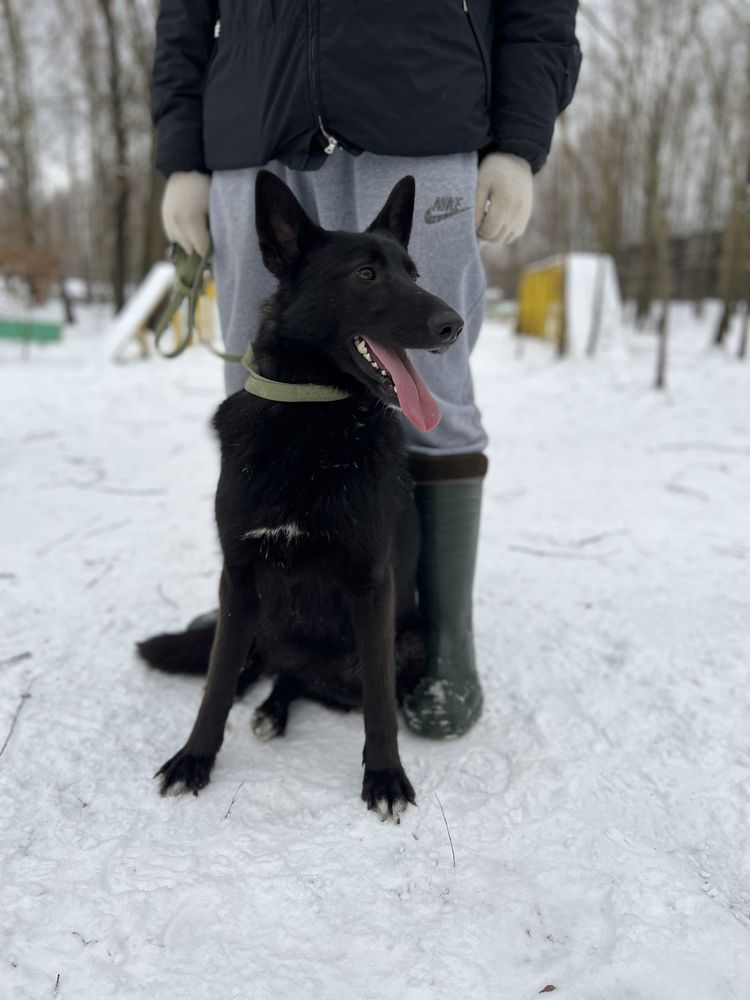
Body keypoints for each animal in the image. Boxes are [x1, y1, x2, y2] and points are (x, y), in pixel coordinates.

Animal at [138, 172, 462, 820]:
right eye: (365, 274)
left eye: (414, 274)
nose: (453, 324)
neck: (312, 419)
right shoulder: (238, 577)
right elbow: (214, 684)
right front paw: (194, 759)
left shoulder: (373, 584)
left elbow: (380, 703)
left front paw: (385, 776)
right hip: (263, 618)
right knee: (268, 670)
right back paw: (265, 704)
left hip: (409, 641)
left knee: (319, 682)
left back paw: (277, 706)